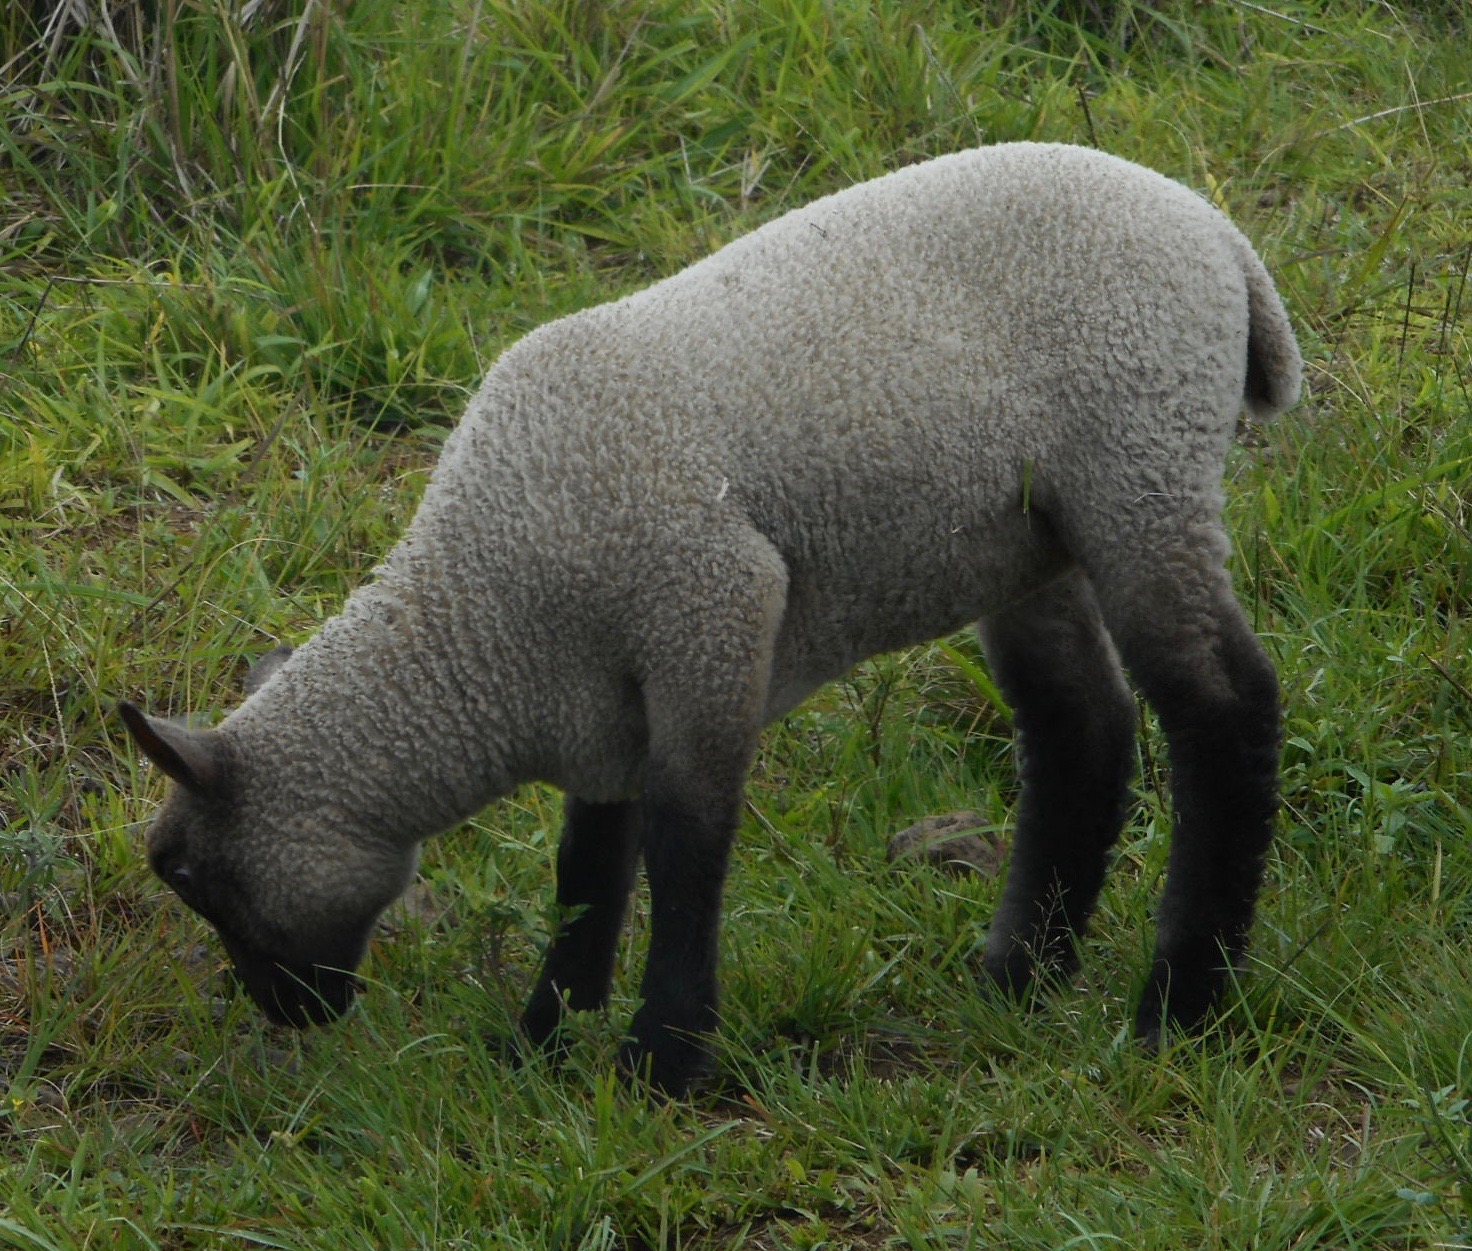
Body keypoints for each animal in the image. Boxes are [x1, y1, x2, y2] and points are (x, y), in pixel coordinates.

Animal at [123, 143, 1301, 1094]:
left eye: (186, 876)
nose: (290, 1016)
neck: (485, 625)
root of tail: (1222, 241)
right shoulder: (603, 705)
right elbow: (587, 871)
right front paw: (544, 1042)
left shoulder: (712, 604)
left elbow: (689, 844)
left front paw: (663, 1060)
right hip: (1026, 538)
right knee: (1080, 725)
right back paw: (1019, 972)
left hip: (1138, 465)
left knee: (1223, 706)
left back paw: (1181, 1007)